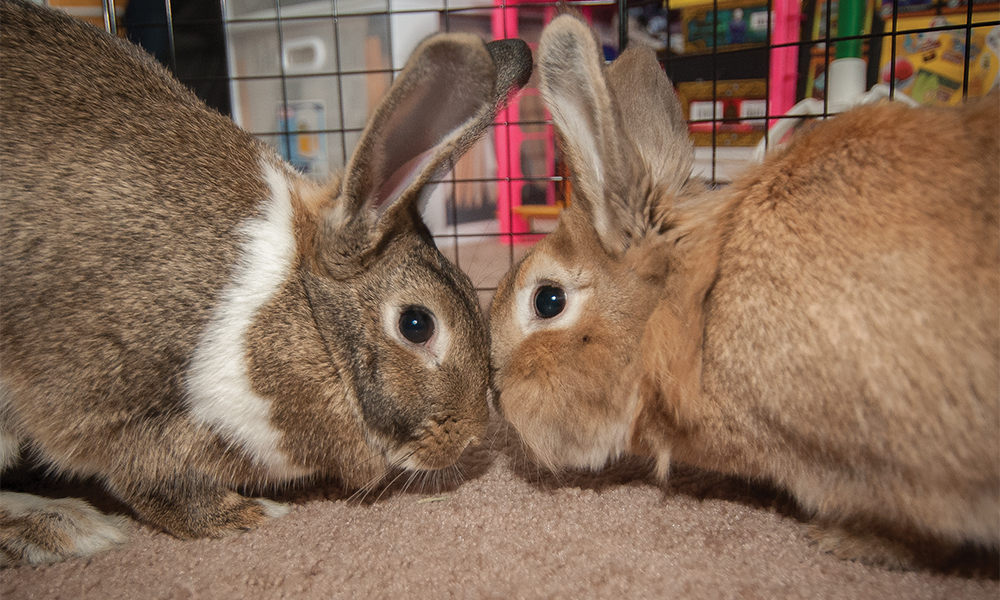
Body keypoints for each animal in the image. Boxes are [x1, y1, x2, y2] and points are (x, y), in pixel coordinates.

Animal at [0, 0, 531, 567]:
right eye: (416, 324)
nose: (471, 435)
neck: (303, 315)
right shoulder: (129, 414)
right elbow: (160, 486)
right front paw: (249, 516)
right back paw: (65, 527)